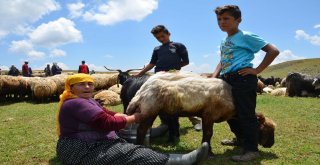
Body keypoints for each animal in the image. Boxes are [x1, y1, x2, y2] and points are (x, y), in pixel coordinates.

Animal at [126, 71, 276, 155]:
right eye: (265, 130)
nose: (271, 145)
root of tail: (143, 90)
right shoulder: (208, 115)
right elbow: (208, 134)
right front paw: (209, 152)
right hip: (149, 110)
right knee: (141, 130)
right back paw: (140, 146)